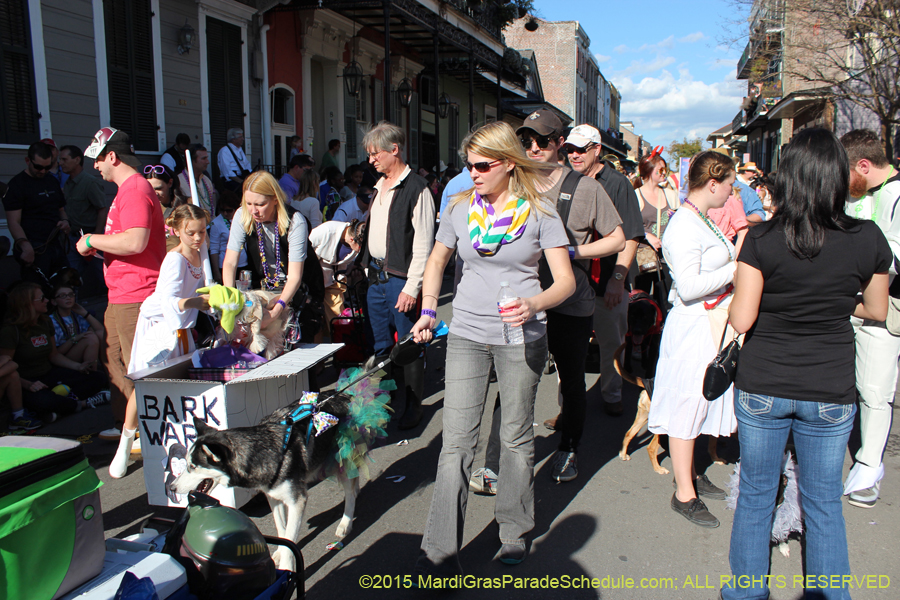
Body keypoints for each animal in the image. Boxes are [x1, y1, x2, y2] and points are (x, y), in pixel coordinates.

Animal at [171, 392, 360, 568]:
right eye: (186, 463)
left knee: (350, 492)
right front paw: (281, 552)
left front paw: (287, 567)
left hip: (341, 459)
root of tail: (344, 395)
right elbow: (282, 530)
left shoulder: (297, 501)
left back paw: (345, 523)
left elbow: (290, 536)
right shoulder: (273, 495)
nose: (171, 488)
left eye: (192, 466)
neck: (259, 452)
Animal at [612, 344, 724, 476]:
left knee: (629, 433)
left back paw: (623, 454)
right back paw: (658, 469)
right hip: (662, 427)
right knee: (651, 448)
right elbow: (713, 445)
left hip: (643, 417)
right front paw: (717, 459)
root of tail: (648, 381)